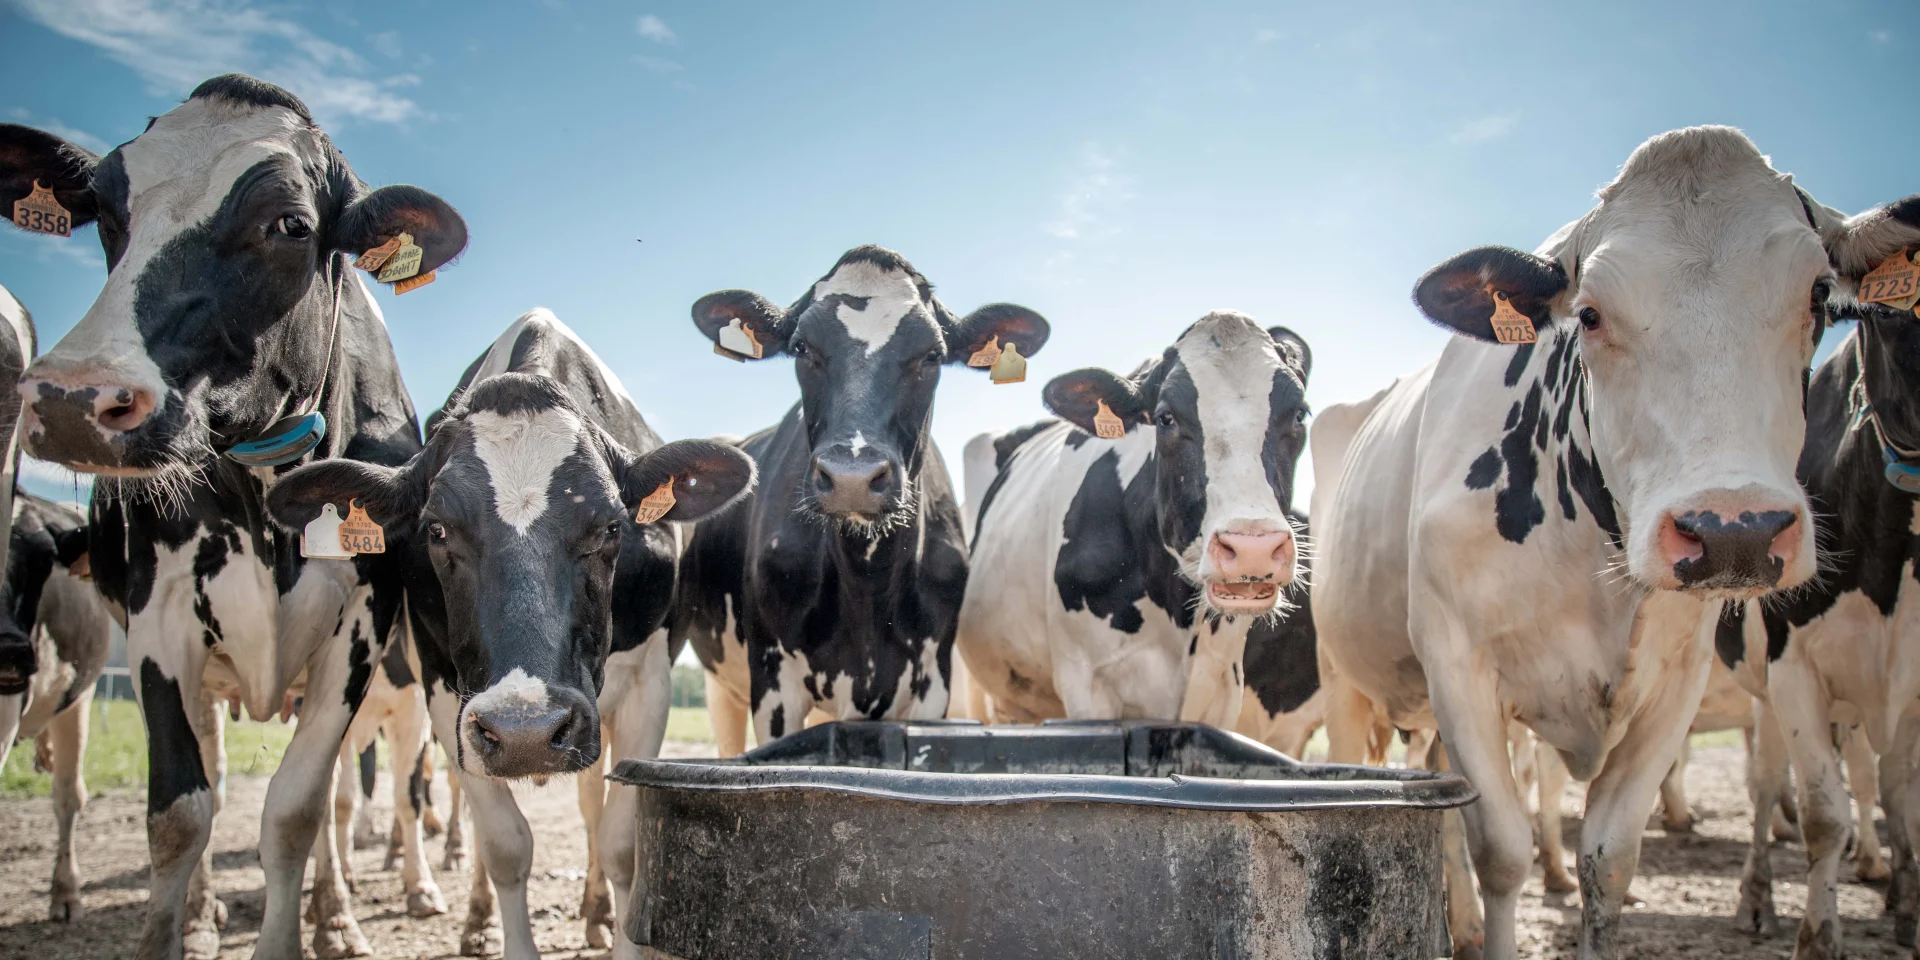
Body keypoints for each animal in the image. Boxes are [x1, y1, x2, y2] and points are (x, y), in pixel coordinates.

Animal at [267, 308, 756, 959]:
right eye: (436, 528)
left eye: (611, 527)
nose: (527, 731)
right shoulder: (445, 689)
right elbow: (504, 845)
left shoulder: (651, 681)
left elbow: (623, 845)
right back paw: (469, 917)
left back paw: (595, 912)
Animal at [676, 245, 1049, 755]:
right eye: (801, 348)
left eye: (932, 355)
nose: (851, 477)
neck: (867, 578)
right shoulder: (773, 681)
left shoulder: (934, 685)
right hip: (721, 686)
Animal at [1310, 126, 1874, 960]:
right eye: (1591, 313)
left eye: (1818, 298)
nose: (1733, 529)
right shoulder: (1457, 660)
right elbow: (1500, 851)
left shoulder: (1676, 682)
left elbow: (1608, 861)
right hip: (1346, 681)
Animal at [1718, 189, 1920, 957]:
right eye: (1896, 314)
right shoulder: (1793, 667)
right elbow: (1823, 814)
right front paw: (1818, 933)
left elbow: (1902, 797)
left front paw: (1907, 909)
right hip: (1766, 689)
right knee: (1767, 782)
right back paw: (1755, 900)